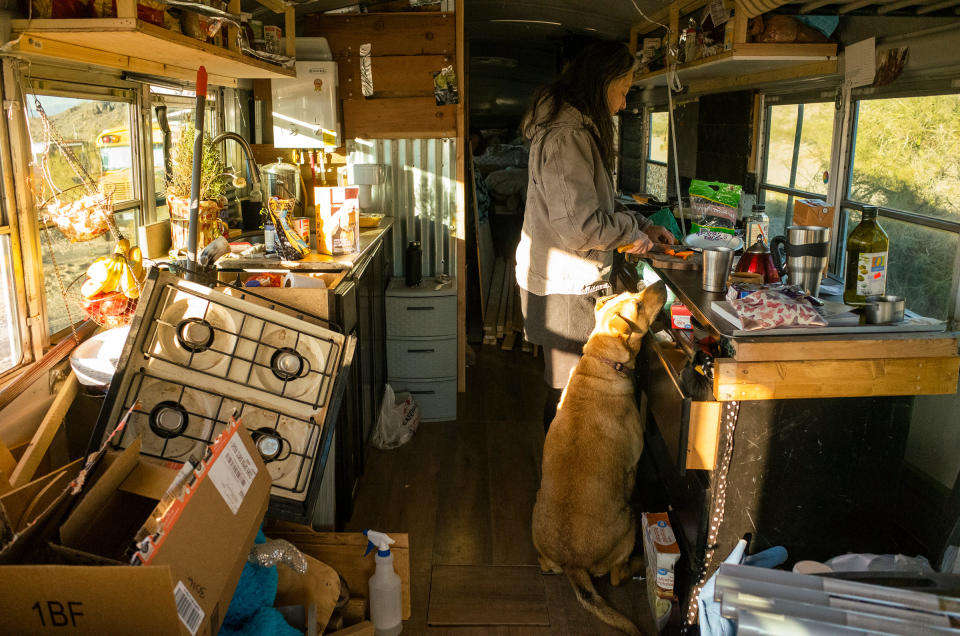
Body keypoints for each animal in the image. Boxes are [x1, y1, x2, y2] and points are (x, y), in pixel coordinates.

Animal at [532, 284, 668, 636]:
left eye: (633, 292)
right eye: (638, 303)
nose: (660, 284)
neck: (601, 361)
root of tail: (572, 565)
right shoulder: (633, 463)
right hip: (629, 524)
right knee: (618, 577)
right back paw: (638, 563)